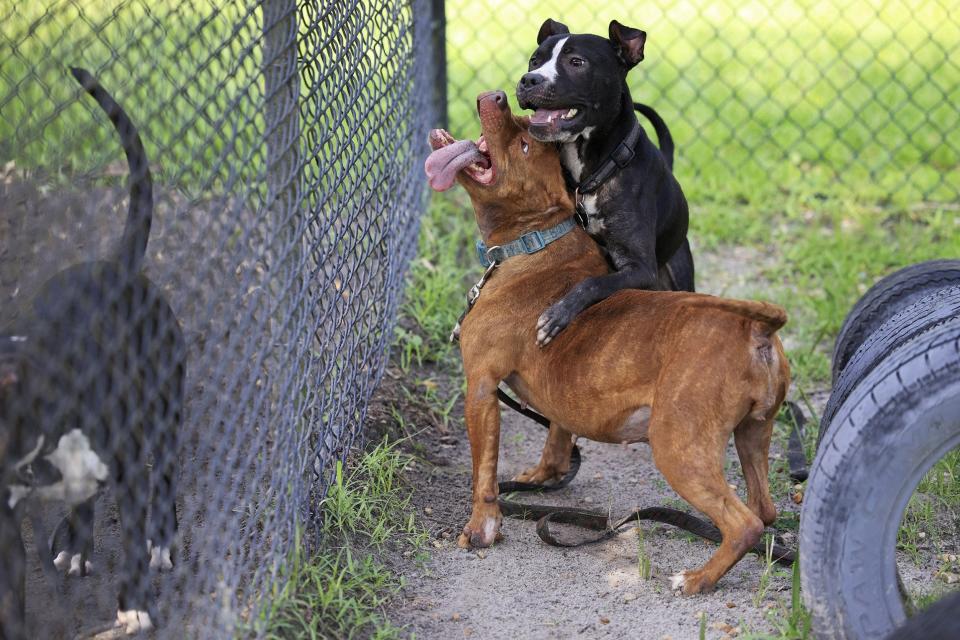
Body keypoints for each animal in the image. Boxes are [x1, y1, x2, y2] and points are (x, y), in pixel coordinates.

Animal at [0, 65, 184, 636]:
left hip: (166, 409)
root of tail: (114, 265)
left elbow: (131, 544)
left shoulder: (126, 472)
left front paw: (135, 605)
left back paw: (162, 540)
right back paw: (77, 546)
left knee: (165, 475)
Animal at [426, 90, 788, 596]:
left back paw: (697, 579)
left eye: (522, 143)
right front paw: (546, 476)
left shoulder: (479, 387)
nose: (496, 95)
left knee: (744, 523)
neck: (535, 240)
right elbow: (558, 434)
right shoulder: (558, 397)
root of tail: (755, 328)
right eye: (520, 124)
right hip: (753, 433)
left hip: (678, 447)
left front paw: (482, 528)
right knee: (764, 508)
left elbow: (484, 472)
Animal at [516, 20, 688, 348]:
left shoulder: (640, 268)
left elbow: (592, 283)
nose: (529, 79)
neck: (594, 171)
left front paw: (558, 314)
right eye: (534, 60)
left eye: (576, 62)